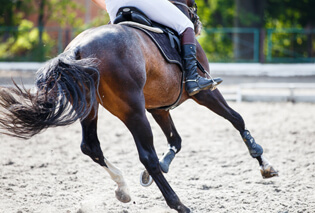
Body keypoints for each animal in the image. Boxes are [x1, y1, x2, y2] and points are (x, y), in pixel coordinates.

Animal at [0, 0, 276, 212]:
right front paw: (264, 164)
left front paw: (155, 171)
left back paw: (123, 188)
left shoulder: (159, 107)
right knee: (146, 156)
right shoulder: (204, 93)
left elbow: (176, 140)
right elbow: (236, 118)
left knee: (91, 146)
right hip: (133, 110)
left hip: (91, 107)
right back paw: (178, 204)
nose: (197, 23)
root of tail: (76, 49)